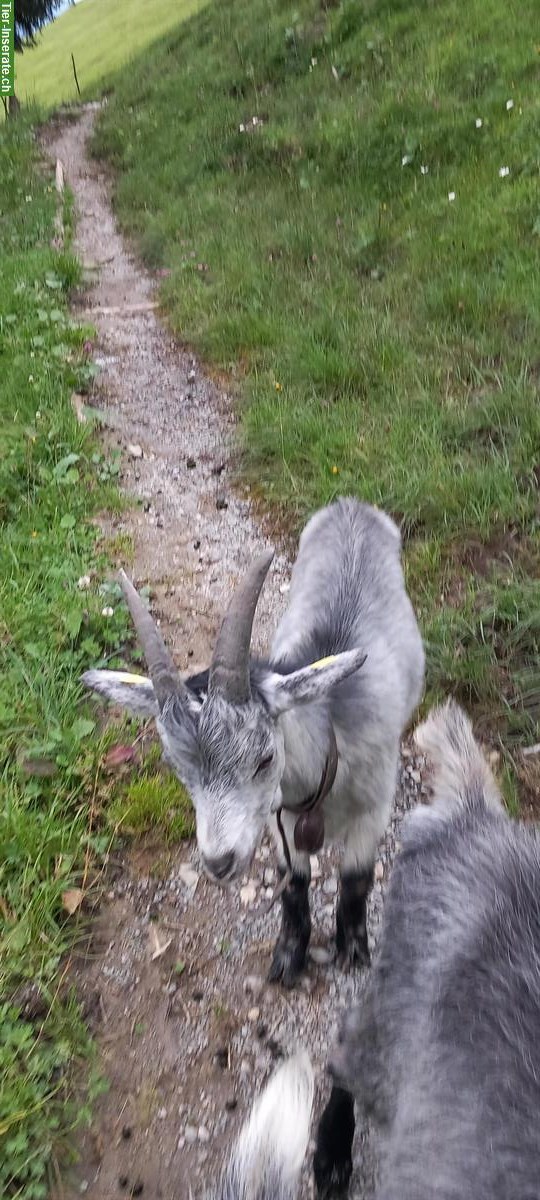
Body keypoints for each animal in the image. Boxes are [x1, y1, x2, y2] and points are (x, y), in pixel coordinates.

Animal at [83, 496, 422, 984]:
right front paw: (289, 958)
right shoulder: (279, 817)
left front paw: (353, 952)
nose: (218, 863)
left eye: (264, 759)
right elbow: (294, 884)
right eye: (178, 770)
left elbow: (356, 880)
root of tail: (351, 504)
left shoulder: (373, 809)